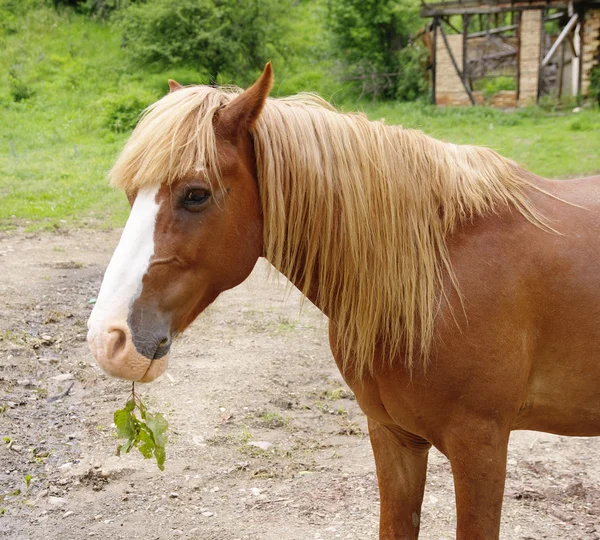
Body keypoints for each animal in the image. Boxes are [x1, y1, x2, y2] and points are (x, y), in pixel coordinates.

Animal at [86, 64, 596, 540]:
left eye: (196, 194)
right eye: (131, 194)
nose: (108, 340)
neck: (438, 270)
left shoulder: (481, 447)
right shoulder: (394, 437)